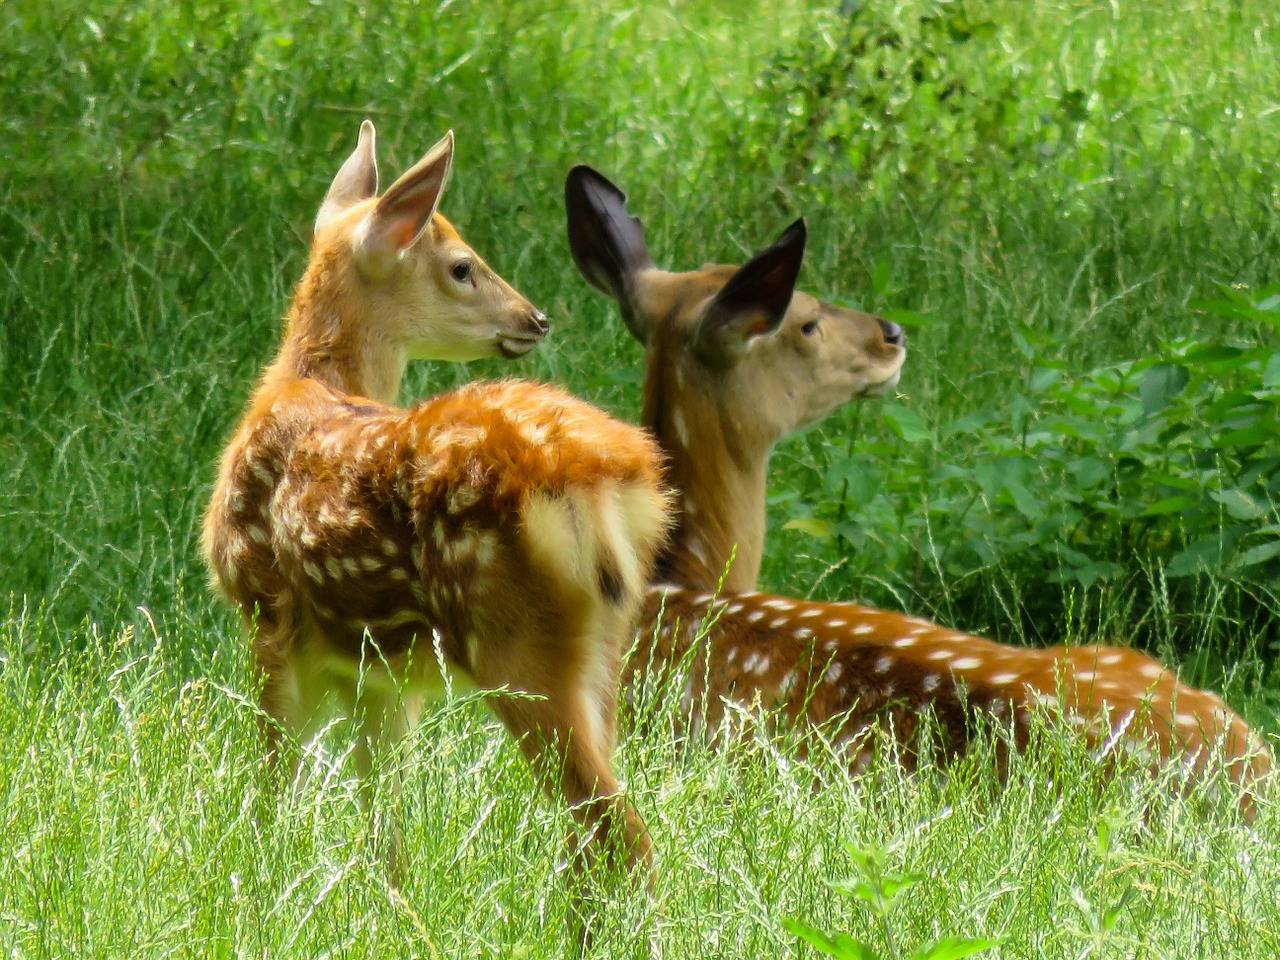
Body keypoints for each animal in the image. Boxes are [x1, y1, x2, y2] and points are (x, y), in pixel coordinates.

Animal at [199, 124, 670, 890]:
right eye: (462, 267)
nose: (536, 318)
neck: (305, 383)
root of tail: (606, 478)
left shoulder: (268, 615)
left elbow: (277, 787)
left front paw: (258, 876)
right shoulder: (381, 671)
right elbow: (385, 823)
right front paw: (392, 902)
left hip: (512, 636)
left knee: (621, 836)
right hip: (606, 640)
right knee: (591, 834)